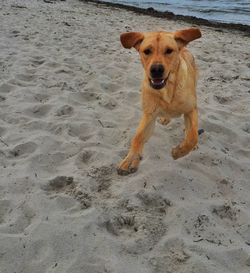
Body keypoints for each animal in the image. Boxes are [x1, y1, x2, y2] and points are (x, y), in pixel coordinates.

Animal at [116, 27, 201, 174]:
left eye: (169, 50)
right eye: (147, 51)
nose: (156, 69)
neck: (167, 89)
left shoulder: (190, 109)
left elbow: (192, 137)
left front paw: (178, 152)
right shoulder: (149, 115)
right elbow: (137, 137)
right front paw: (131, 158)